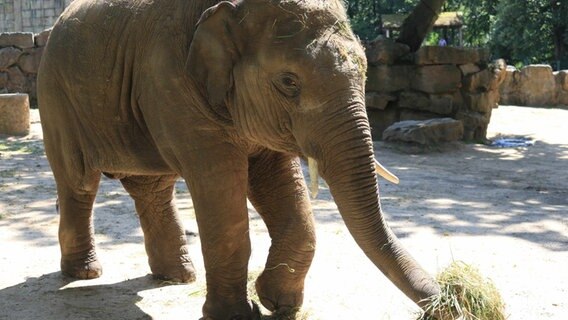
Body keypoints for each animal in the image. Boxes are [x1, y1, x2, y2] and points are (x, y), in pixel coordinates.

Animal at [37, 0, 442, 318]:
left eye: (365, 70)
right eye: (289, 82)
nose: (448, 300)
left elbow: (280, 183)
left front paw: (277, 303)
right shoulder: (170, 80)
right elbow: (220, 186)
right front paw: (237, 315)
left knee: (152, 188)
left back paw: (177, 276)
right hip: (55, 97)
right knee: (78, 183)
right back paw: (85, 274)